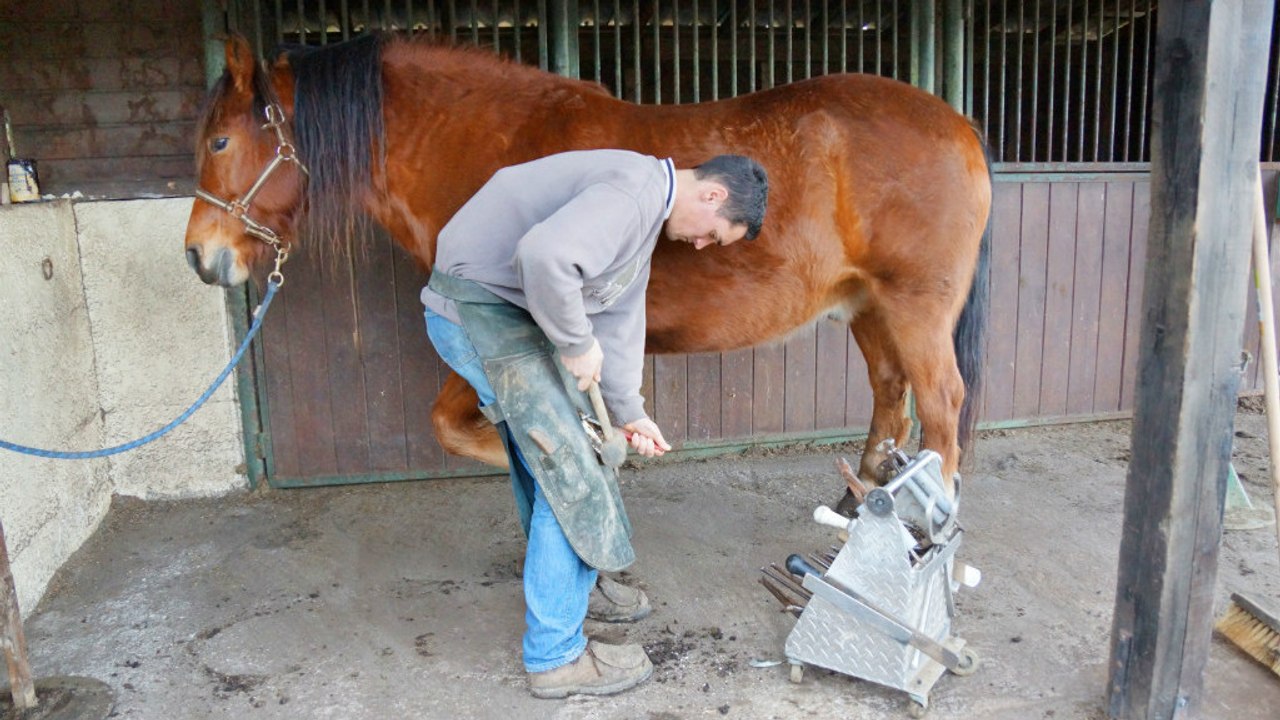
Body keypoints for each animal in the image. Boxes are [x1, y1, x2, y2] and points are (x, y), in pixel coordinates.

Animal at [184, 32, 992, 500]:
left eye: (220, 143)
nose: (200, 255)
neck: (489, 149)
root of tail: (958, 124)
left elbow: (458, 423)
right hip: (868, 307)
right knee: (890, 397)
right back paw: (861, 503)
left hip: (915, 308)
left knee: (941, 407)